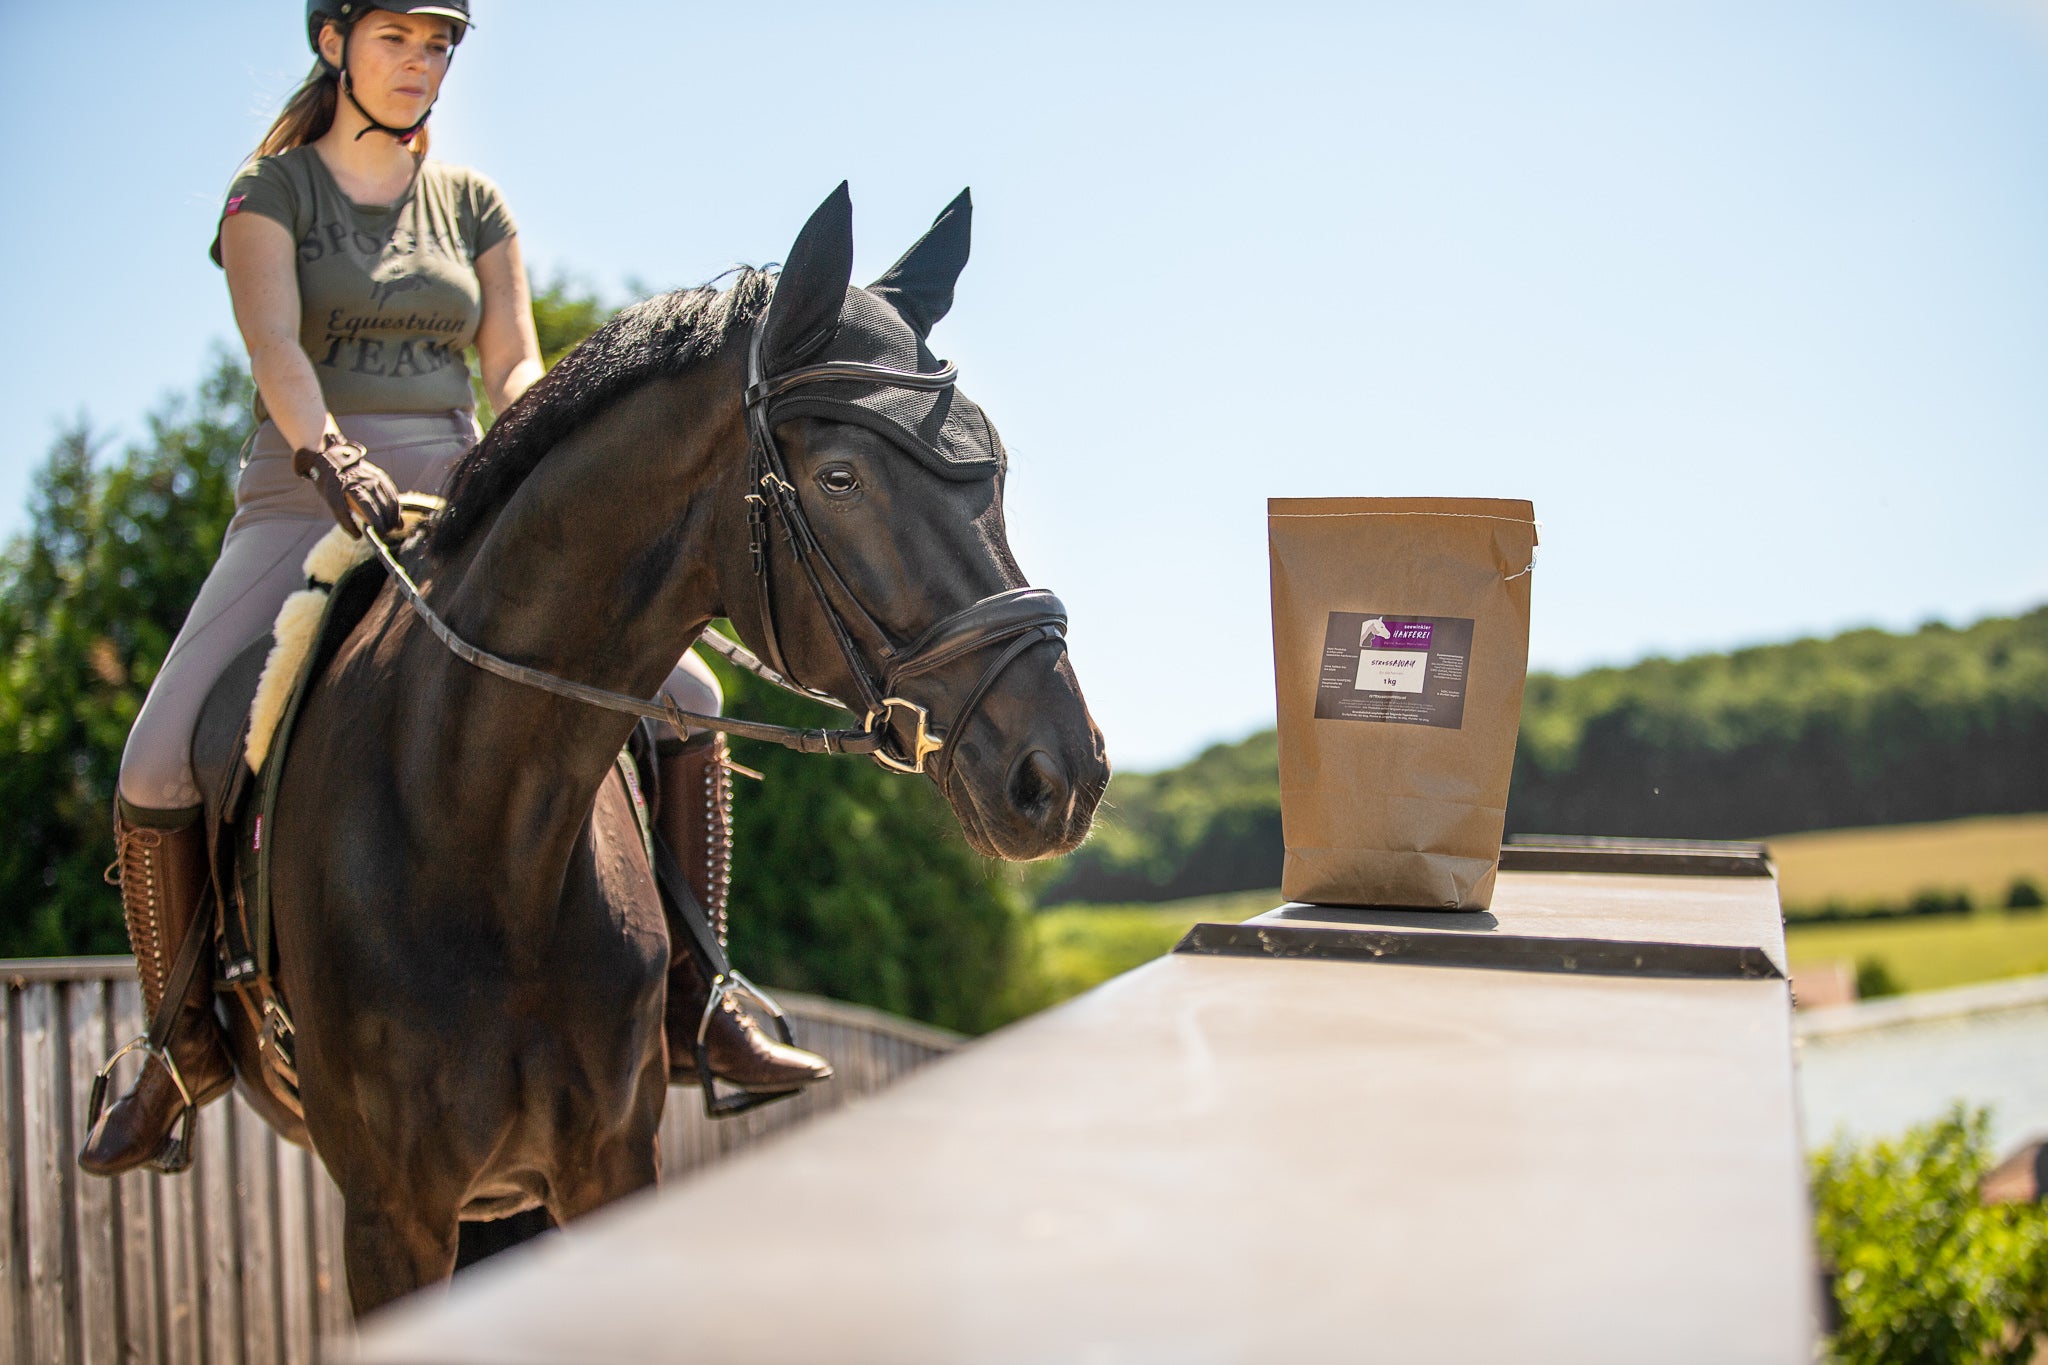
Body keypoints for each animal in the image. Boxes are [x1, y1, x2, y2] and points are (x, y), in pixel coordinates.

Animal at [270, 187, 1114, 1317]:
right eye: (838, 477)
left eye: (997, 468)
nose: (1061, 776)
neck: (473, 828)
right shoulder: (389, 1217)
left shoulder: (609, 1165)